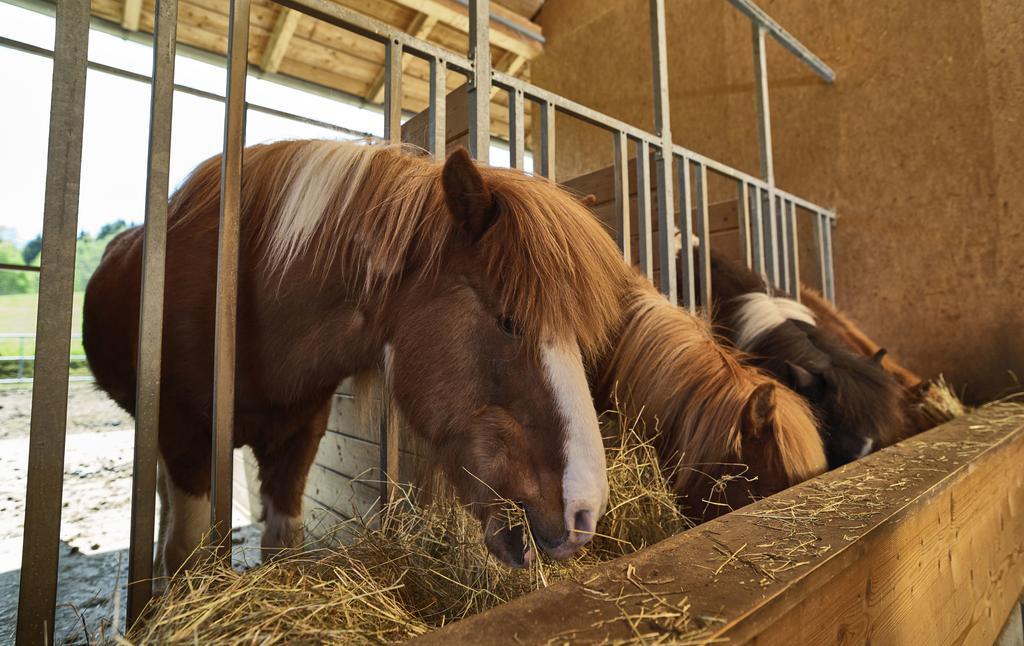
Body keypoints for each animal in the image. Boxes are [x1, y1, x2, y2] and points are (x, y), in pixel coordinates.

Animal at [88, 140, 626, 569]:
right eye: (509, 320)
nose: (585, 511)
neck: (248, 304)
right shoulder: (184, 434)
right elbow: (187, 550)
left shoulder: (299, 434)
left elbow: (282, 543)